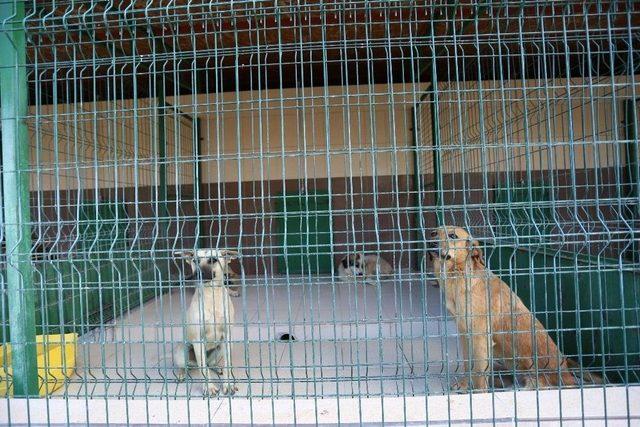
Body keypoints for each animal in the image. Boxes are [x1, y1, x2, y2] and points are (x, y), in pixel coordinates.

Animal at [172, 249, 238, 396]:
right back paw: (181, 374)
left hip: (219, 348)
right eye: (195, 260)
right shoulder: (198, 340)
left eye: (213, 260)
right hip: (182, 351)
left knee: (210, 364)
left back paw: (216, 367)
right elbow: (203, 369)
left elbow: (227, 365)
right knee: (191, 366)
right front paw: (209, 388)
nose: (197, 274)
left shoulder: (228, 337)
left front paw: (228, 385)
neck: (211, 296)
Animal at [428, 226, 604, 392]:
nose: (431, 242)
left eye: (452, 236)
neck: (458, 275)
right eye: (433, 233)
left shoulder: (480, 336)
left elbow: (479, 373)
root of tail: (567, 375)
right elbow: (468, 364)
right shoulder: (465, 334)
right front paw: (465, 384)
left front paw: (479, 394)